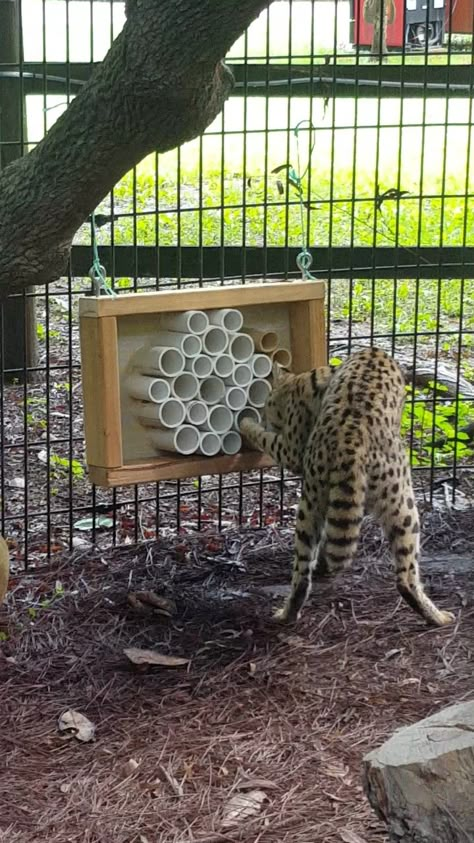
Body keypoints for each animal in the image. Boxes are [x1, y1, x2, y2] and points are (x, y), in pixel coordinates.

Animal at [241, 346, 456, 628]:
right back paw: (438, 617)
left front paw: (246, 423)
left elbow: (265, 437)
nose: (265, 415)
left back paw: (290, 611)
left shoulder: (292, 451)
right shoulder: (292, 450)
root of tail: (350, 440)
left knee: (303, 573)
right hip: (403, 505)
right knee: (405, 577)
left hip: (314, 503)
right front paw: (246, 423)